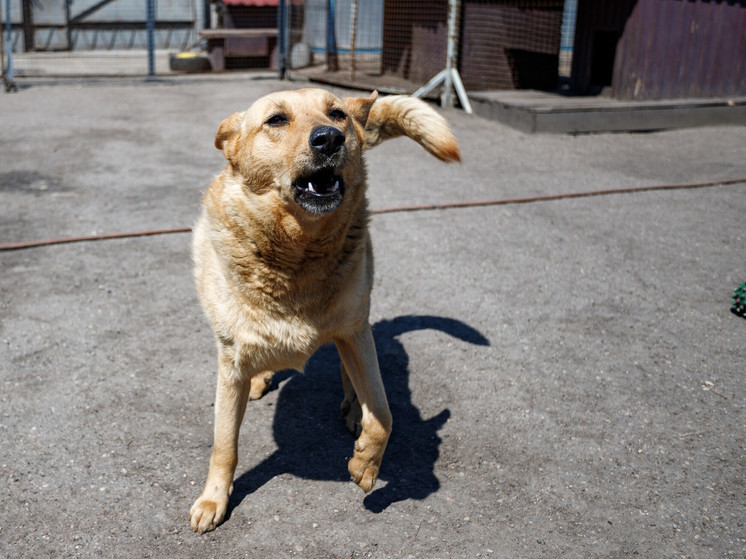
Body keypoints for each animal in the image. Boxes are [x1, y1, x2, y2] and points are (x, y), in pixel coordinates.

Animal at [189, 87, 456, 532]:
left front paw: (366, 462)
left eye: (336, 114)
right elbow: (224, 444)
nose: (330, 138)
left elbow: (384, 413)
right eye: (276, 120)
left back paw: (353, 411)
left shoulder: (356, 332)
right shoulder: (230, 362)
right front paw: (214, 500)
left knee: (354, 380)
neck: (299, 254)